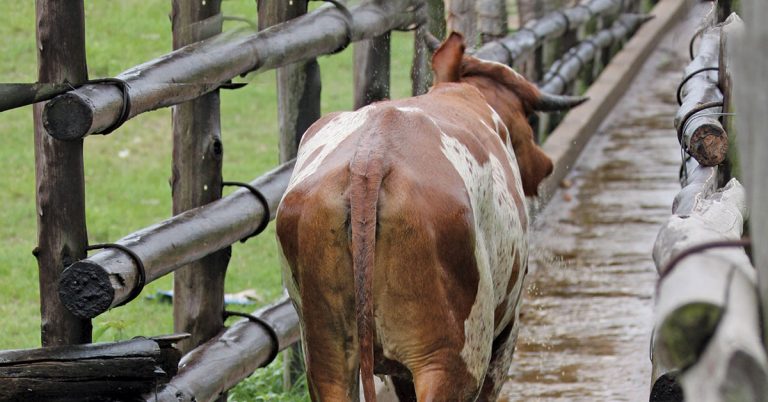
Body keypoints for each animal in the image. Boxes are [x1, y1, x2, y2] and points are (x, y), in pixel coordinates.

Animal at [276, 33, 586, 402]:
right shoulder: (505, 333)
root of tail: (371, 156)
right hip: (451, 360)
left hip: (327, 359)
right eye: (525, 116)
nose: (545, 164)